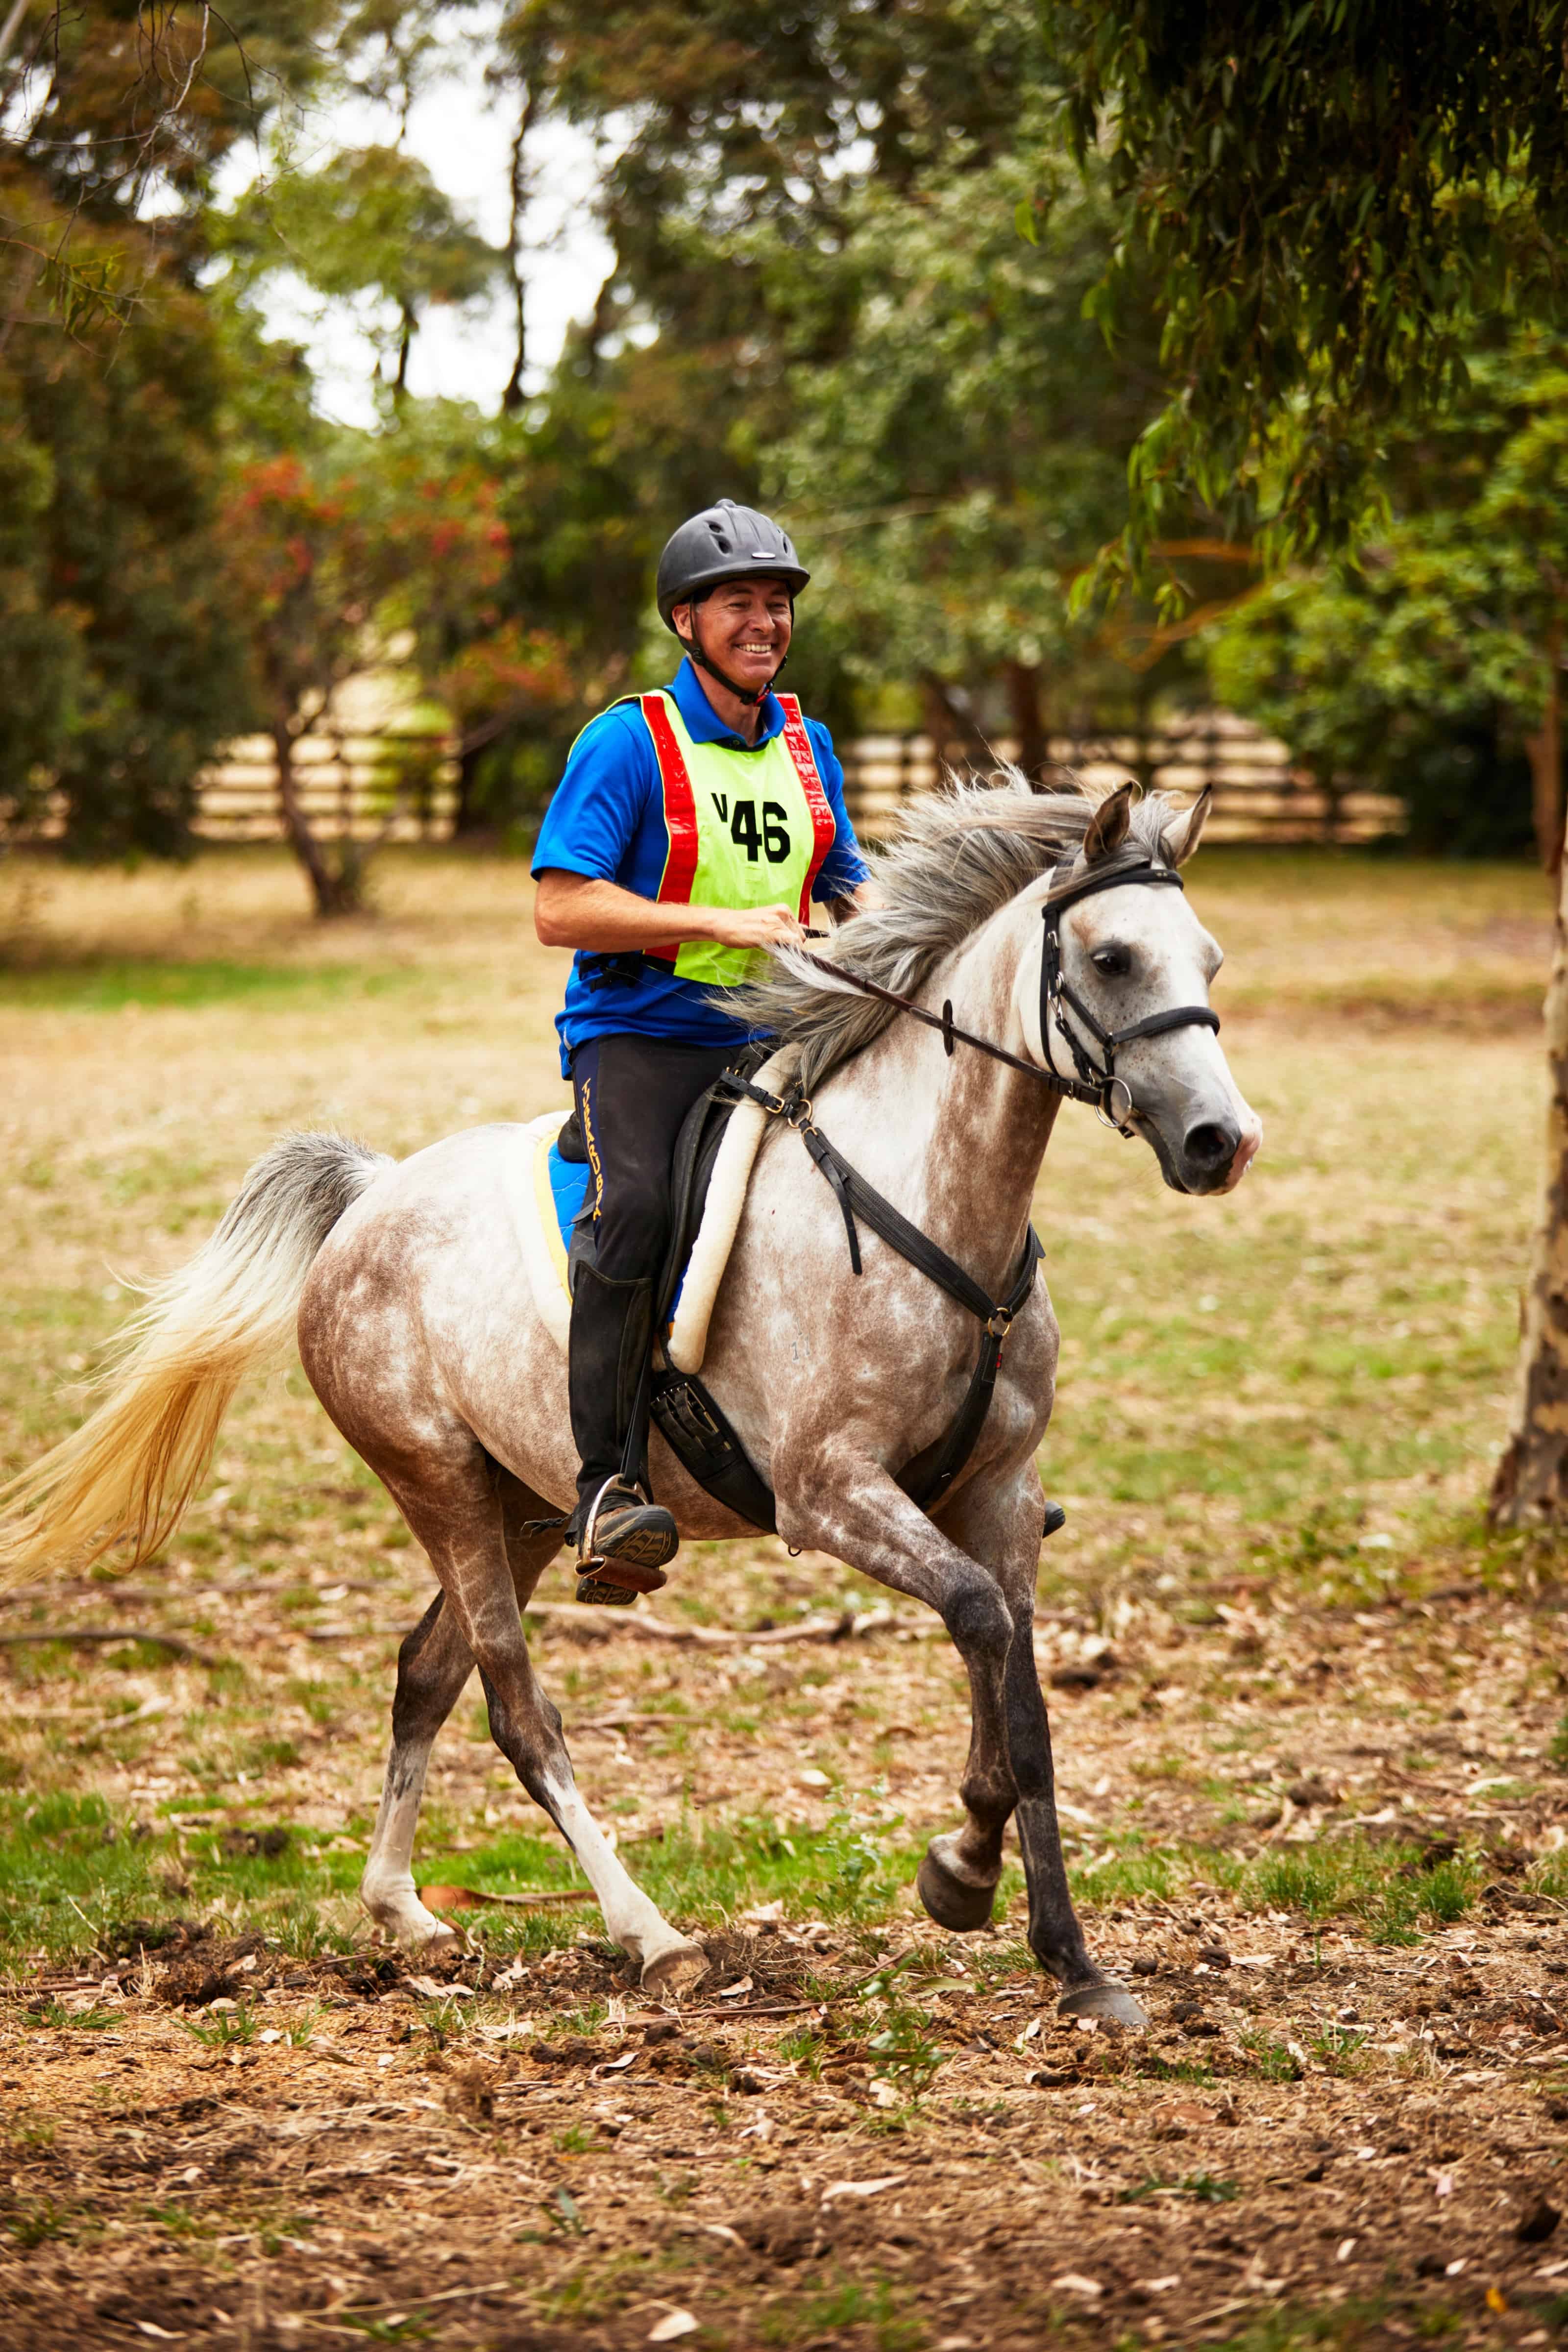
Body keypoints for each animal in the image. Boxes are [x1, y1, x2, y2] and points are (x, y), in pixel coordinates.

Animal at [0, 775, 1260, 2023]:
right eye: (1110, 958)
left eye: (1210, 957)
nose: (1221, 1141)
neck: (927, 1202)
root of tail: (371, 1193)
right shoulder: (830, 1494)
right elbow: (983, 1625)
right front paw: (977, 1882)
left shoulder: (998, 1496)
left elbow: (1021, 1696)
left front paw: (1053, 1946)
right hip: (440, 1485)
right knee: (516, 1709)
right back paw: (650, 1936)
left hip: (520, 1508)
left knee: (425, 1674)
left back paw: (405, 1913)